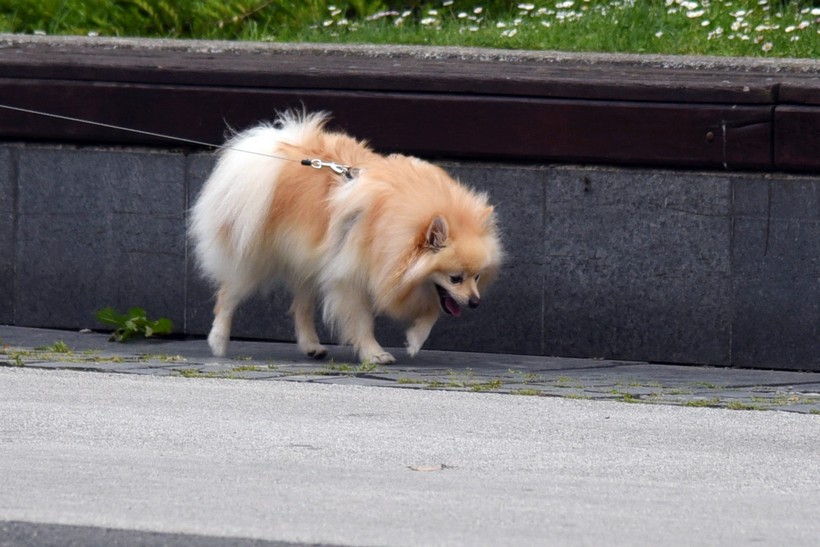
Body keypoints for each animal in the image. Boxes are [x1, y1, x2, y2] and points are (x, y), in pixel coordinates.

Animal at [190, 111, 502, 363]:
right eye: (455, 278)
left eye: (477, 278)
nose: (475, 302)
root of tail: (281, 149)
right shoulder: (350, 278)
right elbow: (361, 321)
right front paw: (374, 353)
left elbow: (433, 312)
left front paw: (415, 340)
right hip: (256, 259)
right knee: (228, 294)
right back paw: (218, 341)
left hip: (309, 262)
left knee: (300, 306)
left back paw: (312, 346)